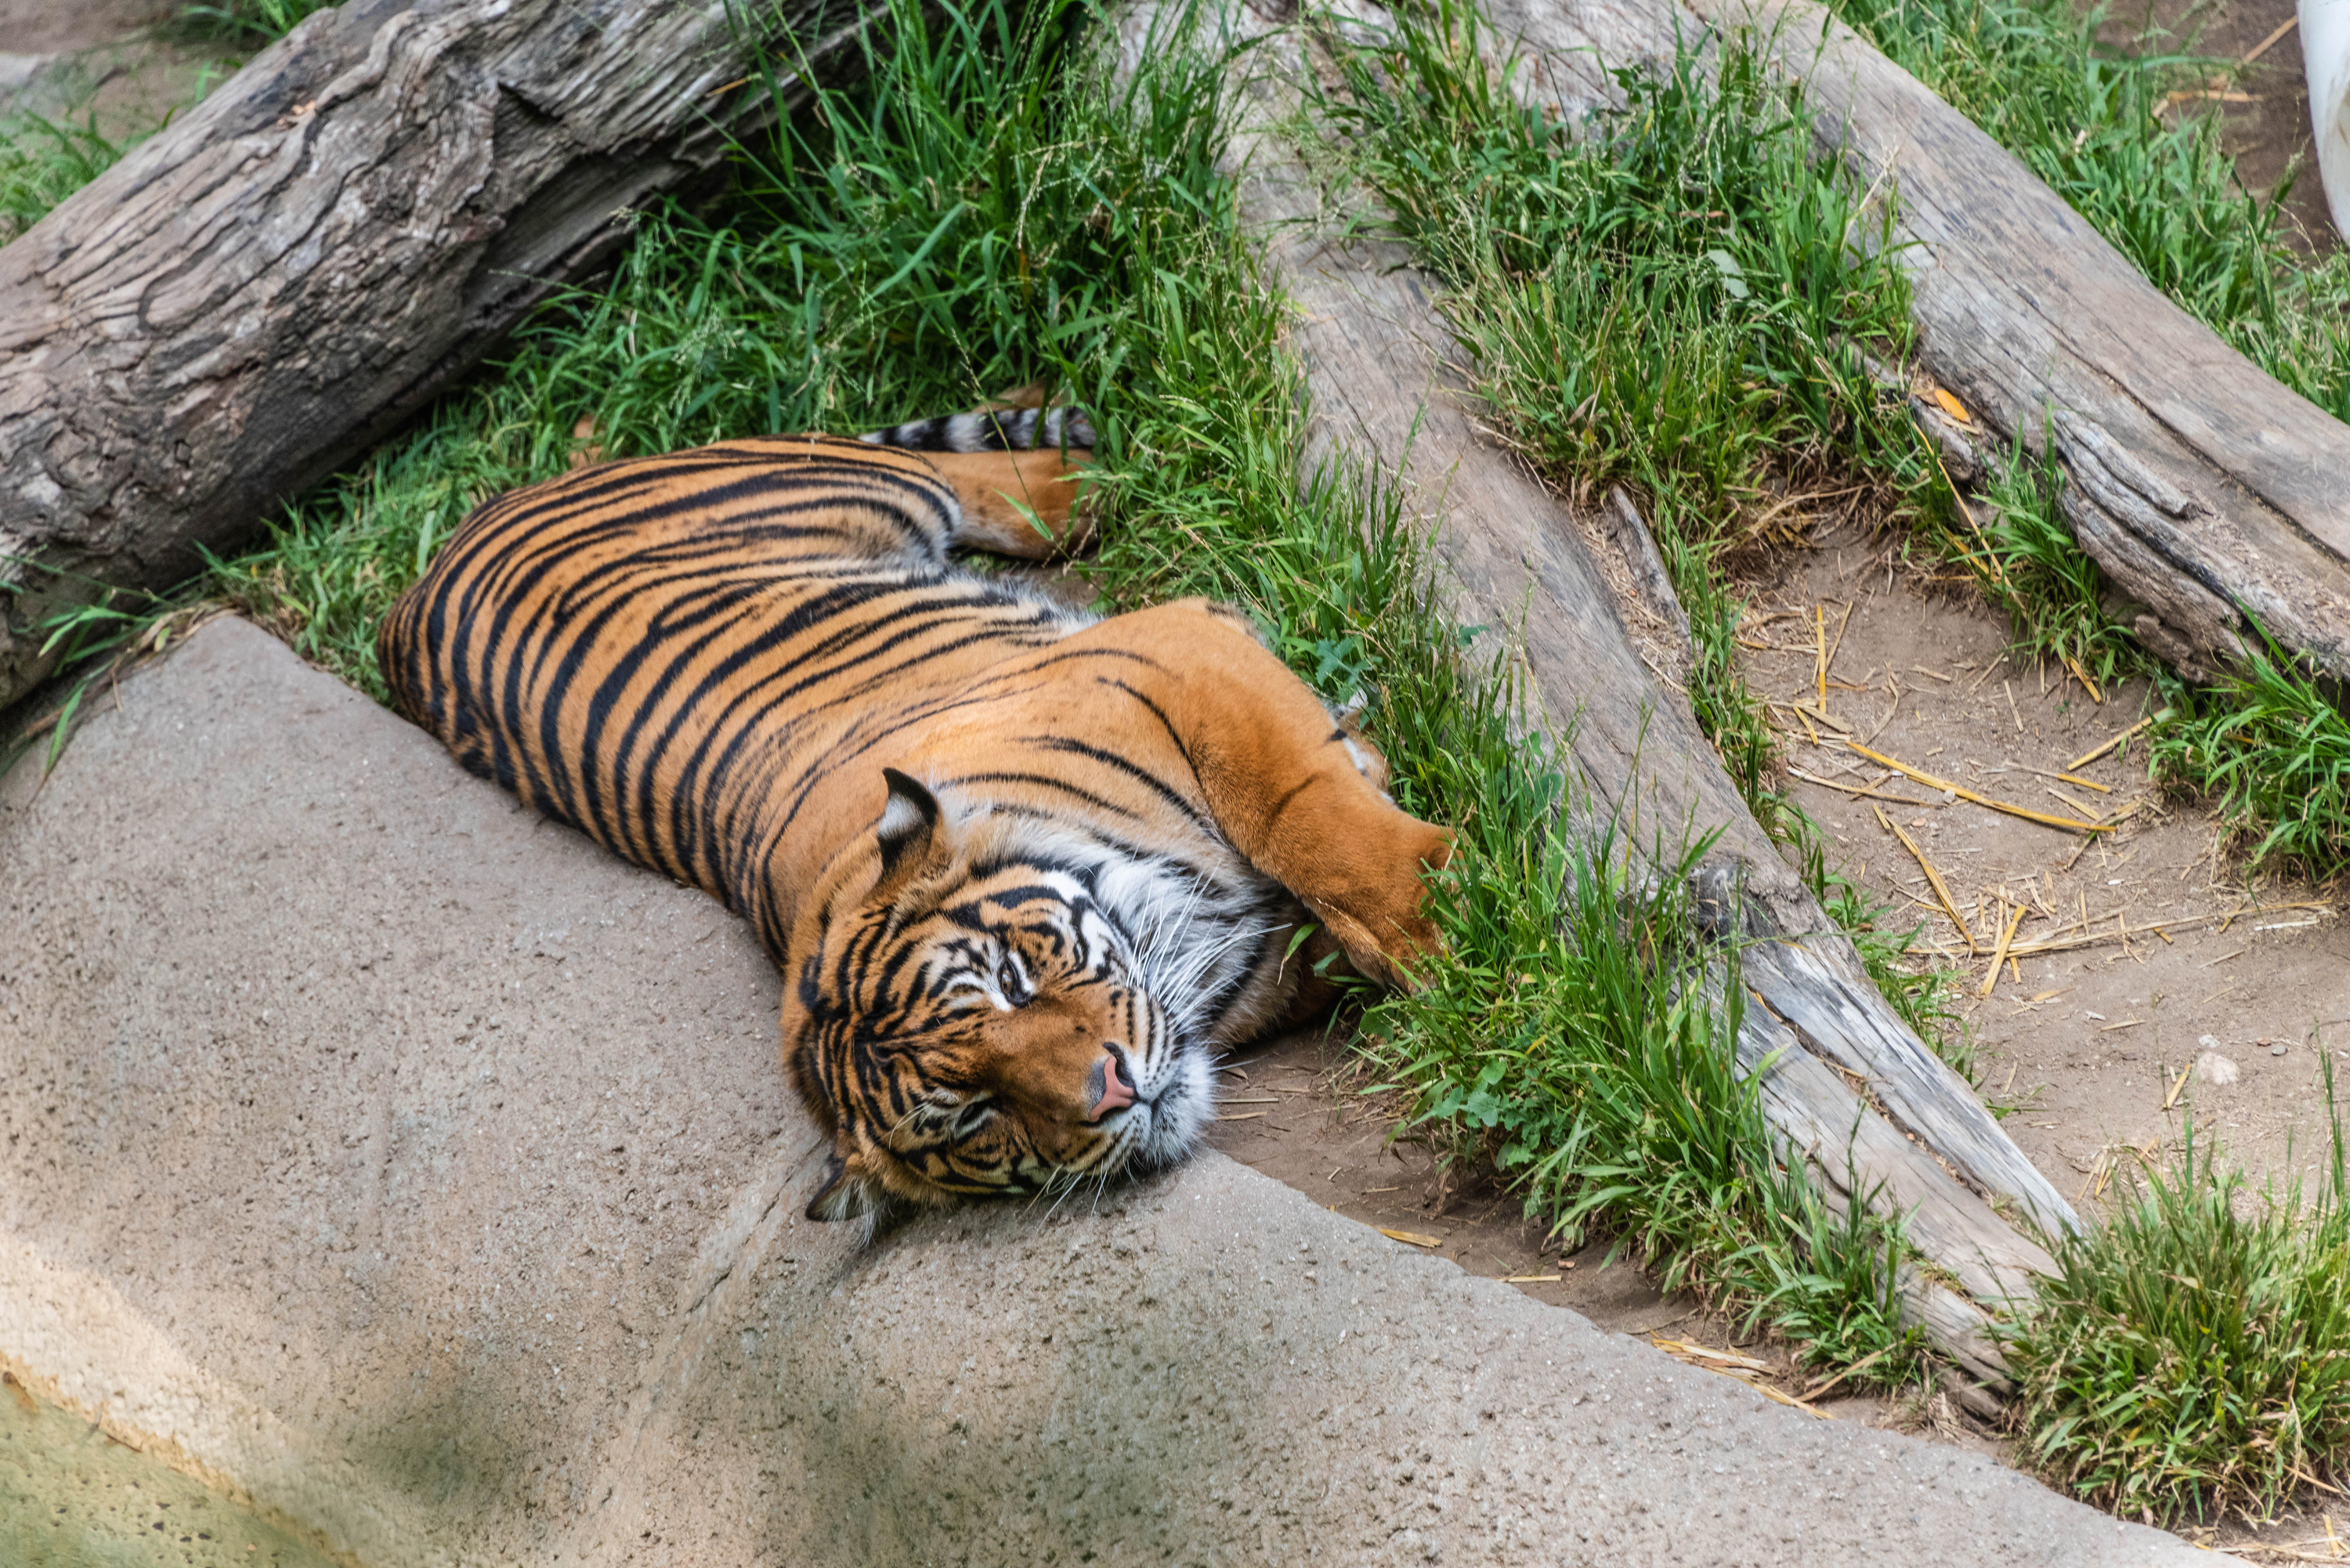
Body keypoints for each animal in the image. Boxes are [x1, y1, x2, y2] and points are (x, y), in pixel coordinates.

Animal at [378, 404, 1448, 1222]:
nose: (1111, 1090)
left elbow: (1307, 814)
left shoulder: (1170, 657)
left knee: (958, 472)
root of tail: (406, 604)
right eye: (975, 1114)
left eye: (1013, 980)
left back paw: (1100, 473)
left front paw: (1443, 919)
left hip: (841, 478)